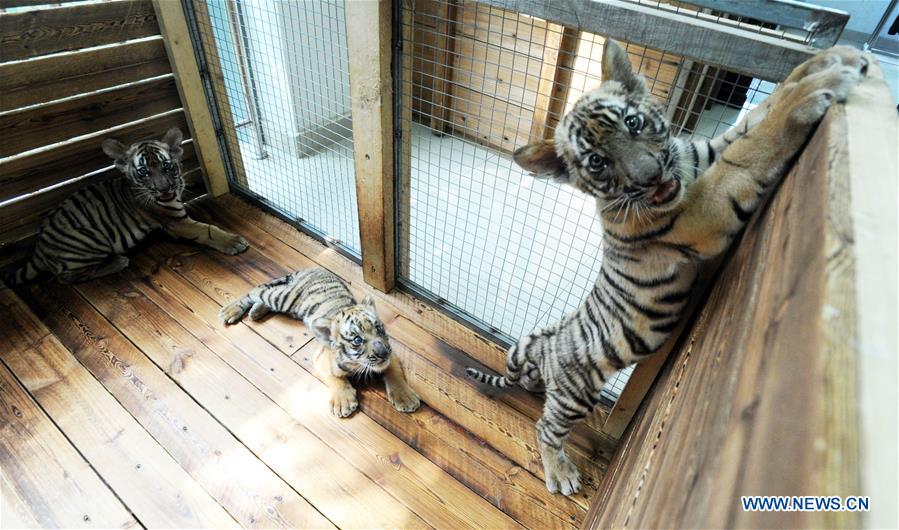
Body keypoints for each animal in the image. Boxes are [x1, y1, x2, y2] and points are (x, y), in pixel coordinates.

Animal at [4, 128, 248, 285]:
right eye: (144, 172)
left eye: (167, 167)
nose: (164, 189)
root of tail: (38, 247)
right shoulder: (175, 221)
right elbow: (207, 229)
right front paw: (234, 242)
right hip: (90, 239)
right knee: (65, 277)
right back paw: (118, 261)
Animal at [218, 267, 421, 417]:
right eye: (357, 340)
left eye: (379, 328)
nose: (383, 352)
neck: (356, 364)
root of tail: (310, 269)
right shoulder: (320, 358)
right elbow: (335, 379)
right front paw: (342, 402)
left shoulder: (392, 354)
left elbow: (394, 373)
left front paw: (406, 398)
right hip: (282, 297)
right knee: (257, 290)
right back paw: (231, 310)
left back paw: (256, 312)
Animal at [466, 41, 867, 495]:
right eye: (597, 162)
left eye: (633, 122)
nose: (651, 176)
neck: (682, 174)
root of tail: (546, 344)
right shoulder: (702, 211)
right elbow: (752, 150)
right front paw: (819, 89)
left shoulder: (705, 152)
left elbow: (758, 116)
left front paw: (827, 61)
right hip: (577, 394)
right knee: (547, 427)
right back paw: (561, 473)